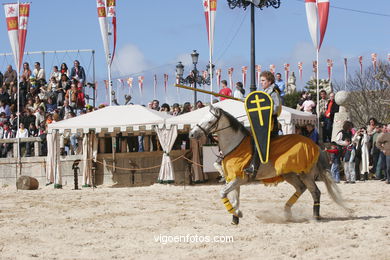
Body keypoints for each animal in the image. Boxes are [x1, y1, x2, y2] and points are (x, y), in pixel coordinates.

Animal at [190, 105, 346, 223]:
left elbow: (222, 193)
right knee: (301, 188)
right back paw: (287, 212)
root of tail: (315, 145)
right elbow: (235, 200)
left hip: (305, 174)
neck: (236, 145)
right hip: (289, 174)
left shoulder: (238, 179)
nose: (192, 134)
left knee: (315, 192)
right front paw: (235, 217)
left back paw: (315, 216)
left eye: (209, 122)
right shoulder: (233, 180)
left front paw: (237, 214)